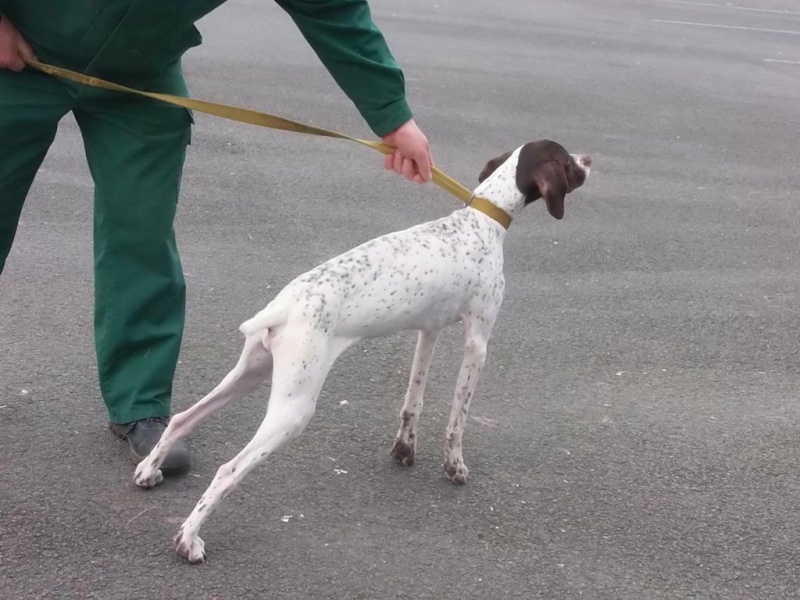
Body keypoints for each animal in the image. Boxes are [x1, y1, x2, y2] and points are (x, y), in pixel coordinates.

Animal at [134, 139, 592, 564]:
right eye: (567, 160)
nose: (589, 160)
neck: (481, 219)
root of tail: (286, 305)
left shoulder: (428, 332)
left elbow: (413, 401)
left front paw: (405, 449)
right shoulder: (477, 343)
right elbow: (456, 420)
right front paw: (454, 467)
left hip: (252, 373)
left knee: (181, 419)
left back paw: (150, 470)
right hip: (294, 409)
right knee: (228, 470)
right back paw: (189, 538)